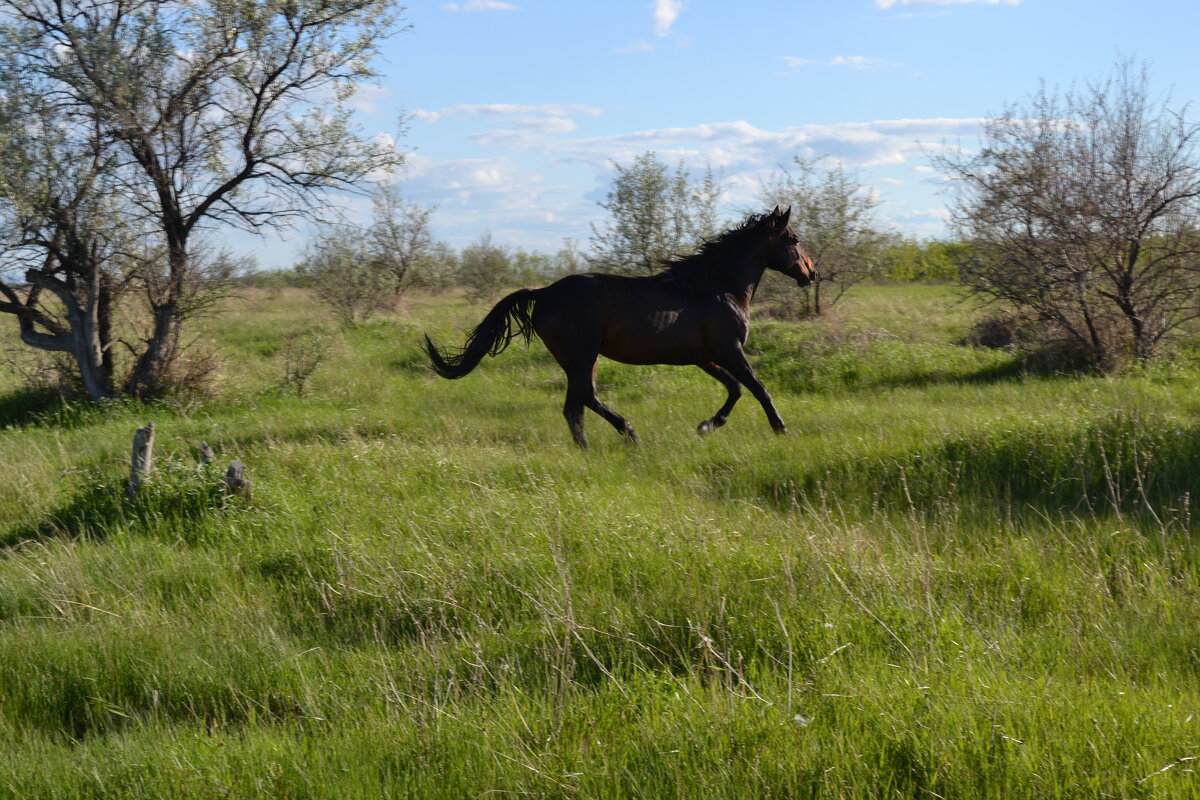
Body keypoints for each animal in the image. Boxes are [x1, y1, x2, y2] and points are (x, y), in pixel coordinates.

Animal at [422, 205, 816, 450]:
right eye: (794, 240)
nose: (811, 273)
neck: (716, 287)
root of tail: (544, 292)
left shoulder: (705, 357)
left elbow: (735, 390)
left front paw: (706, 427)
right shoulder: (730, 350)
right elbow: (758, 388)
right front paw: (781, 429)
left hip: (579, 359)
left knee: (580, 403)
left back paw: (608, 442)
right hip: (582, 357)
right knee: (581, 402)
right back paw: (620, 438)